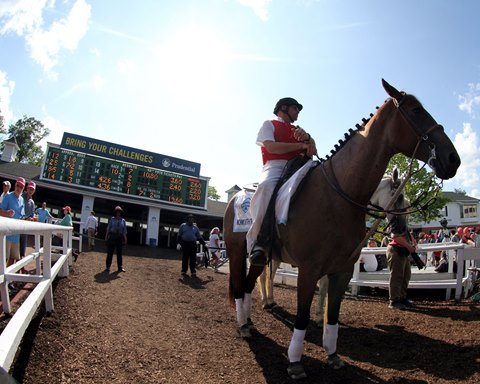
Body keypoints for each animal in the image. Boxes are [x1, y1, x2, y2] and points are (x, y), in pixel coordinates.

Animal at [223, 79, 460, 380]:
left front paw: (333, 354)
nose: (452, 158)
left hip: (261, 257)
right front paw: (295, 362)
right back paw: (244, 324)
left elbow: (333, 314)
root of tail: (235, 198)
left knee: (250, 283)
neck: (337, 195)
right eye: (416, 110)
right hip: (237, 251)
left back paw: (251, 320)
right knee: (241, 285)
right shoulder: (309, 269)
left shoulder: (342, 270)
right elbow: (301, 317)